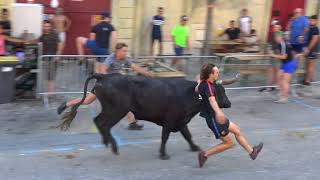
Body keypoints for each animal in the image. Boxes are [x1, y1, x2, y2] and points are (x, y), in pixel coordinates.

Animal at [58, 74, 201, 160]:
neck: (188, 92)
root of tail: (104, 76)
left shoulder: (181, 120)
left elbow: (187, 134)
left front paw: (195, 148)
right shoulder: (170, 120)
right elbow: (165, 136)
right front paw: (163, 154)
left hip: (111, 110)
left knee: (98, 121)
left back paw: (107, 142)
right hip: (117, 111)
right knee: (103, 123)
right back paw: (114, 147)